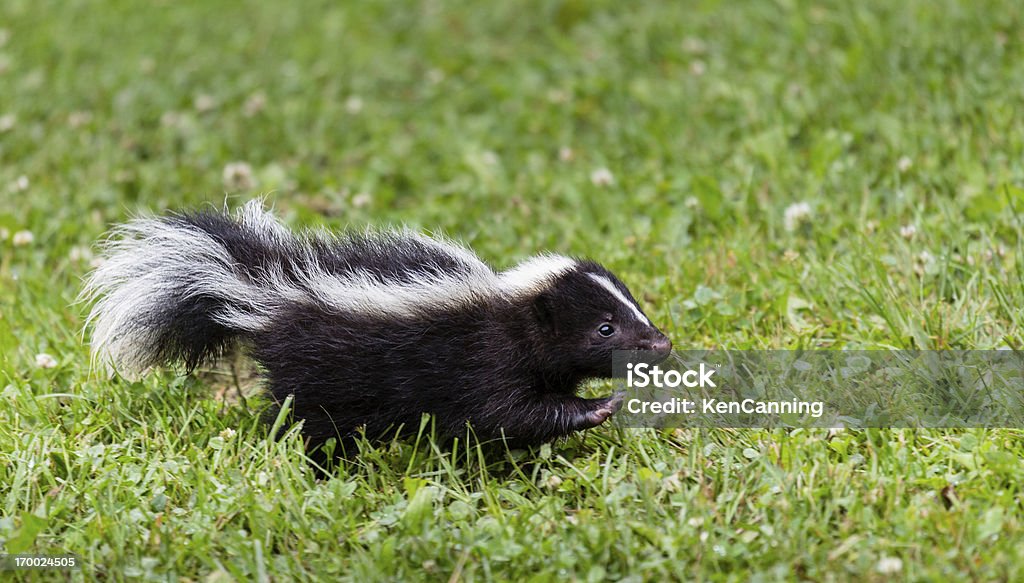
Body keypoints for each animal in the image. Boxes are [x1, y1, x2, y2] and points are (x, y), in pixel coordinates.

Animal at [79, 201, 671, 452]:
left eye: (634, 309)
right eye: (605, 329)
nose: (661, 343)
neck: (509, 308)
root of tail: (266, 284)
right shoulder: (481, 359)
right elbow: (505, 414)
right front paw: (598, 407)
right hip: (318, 373)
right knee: (305, 422)